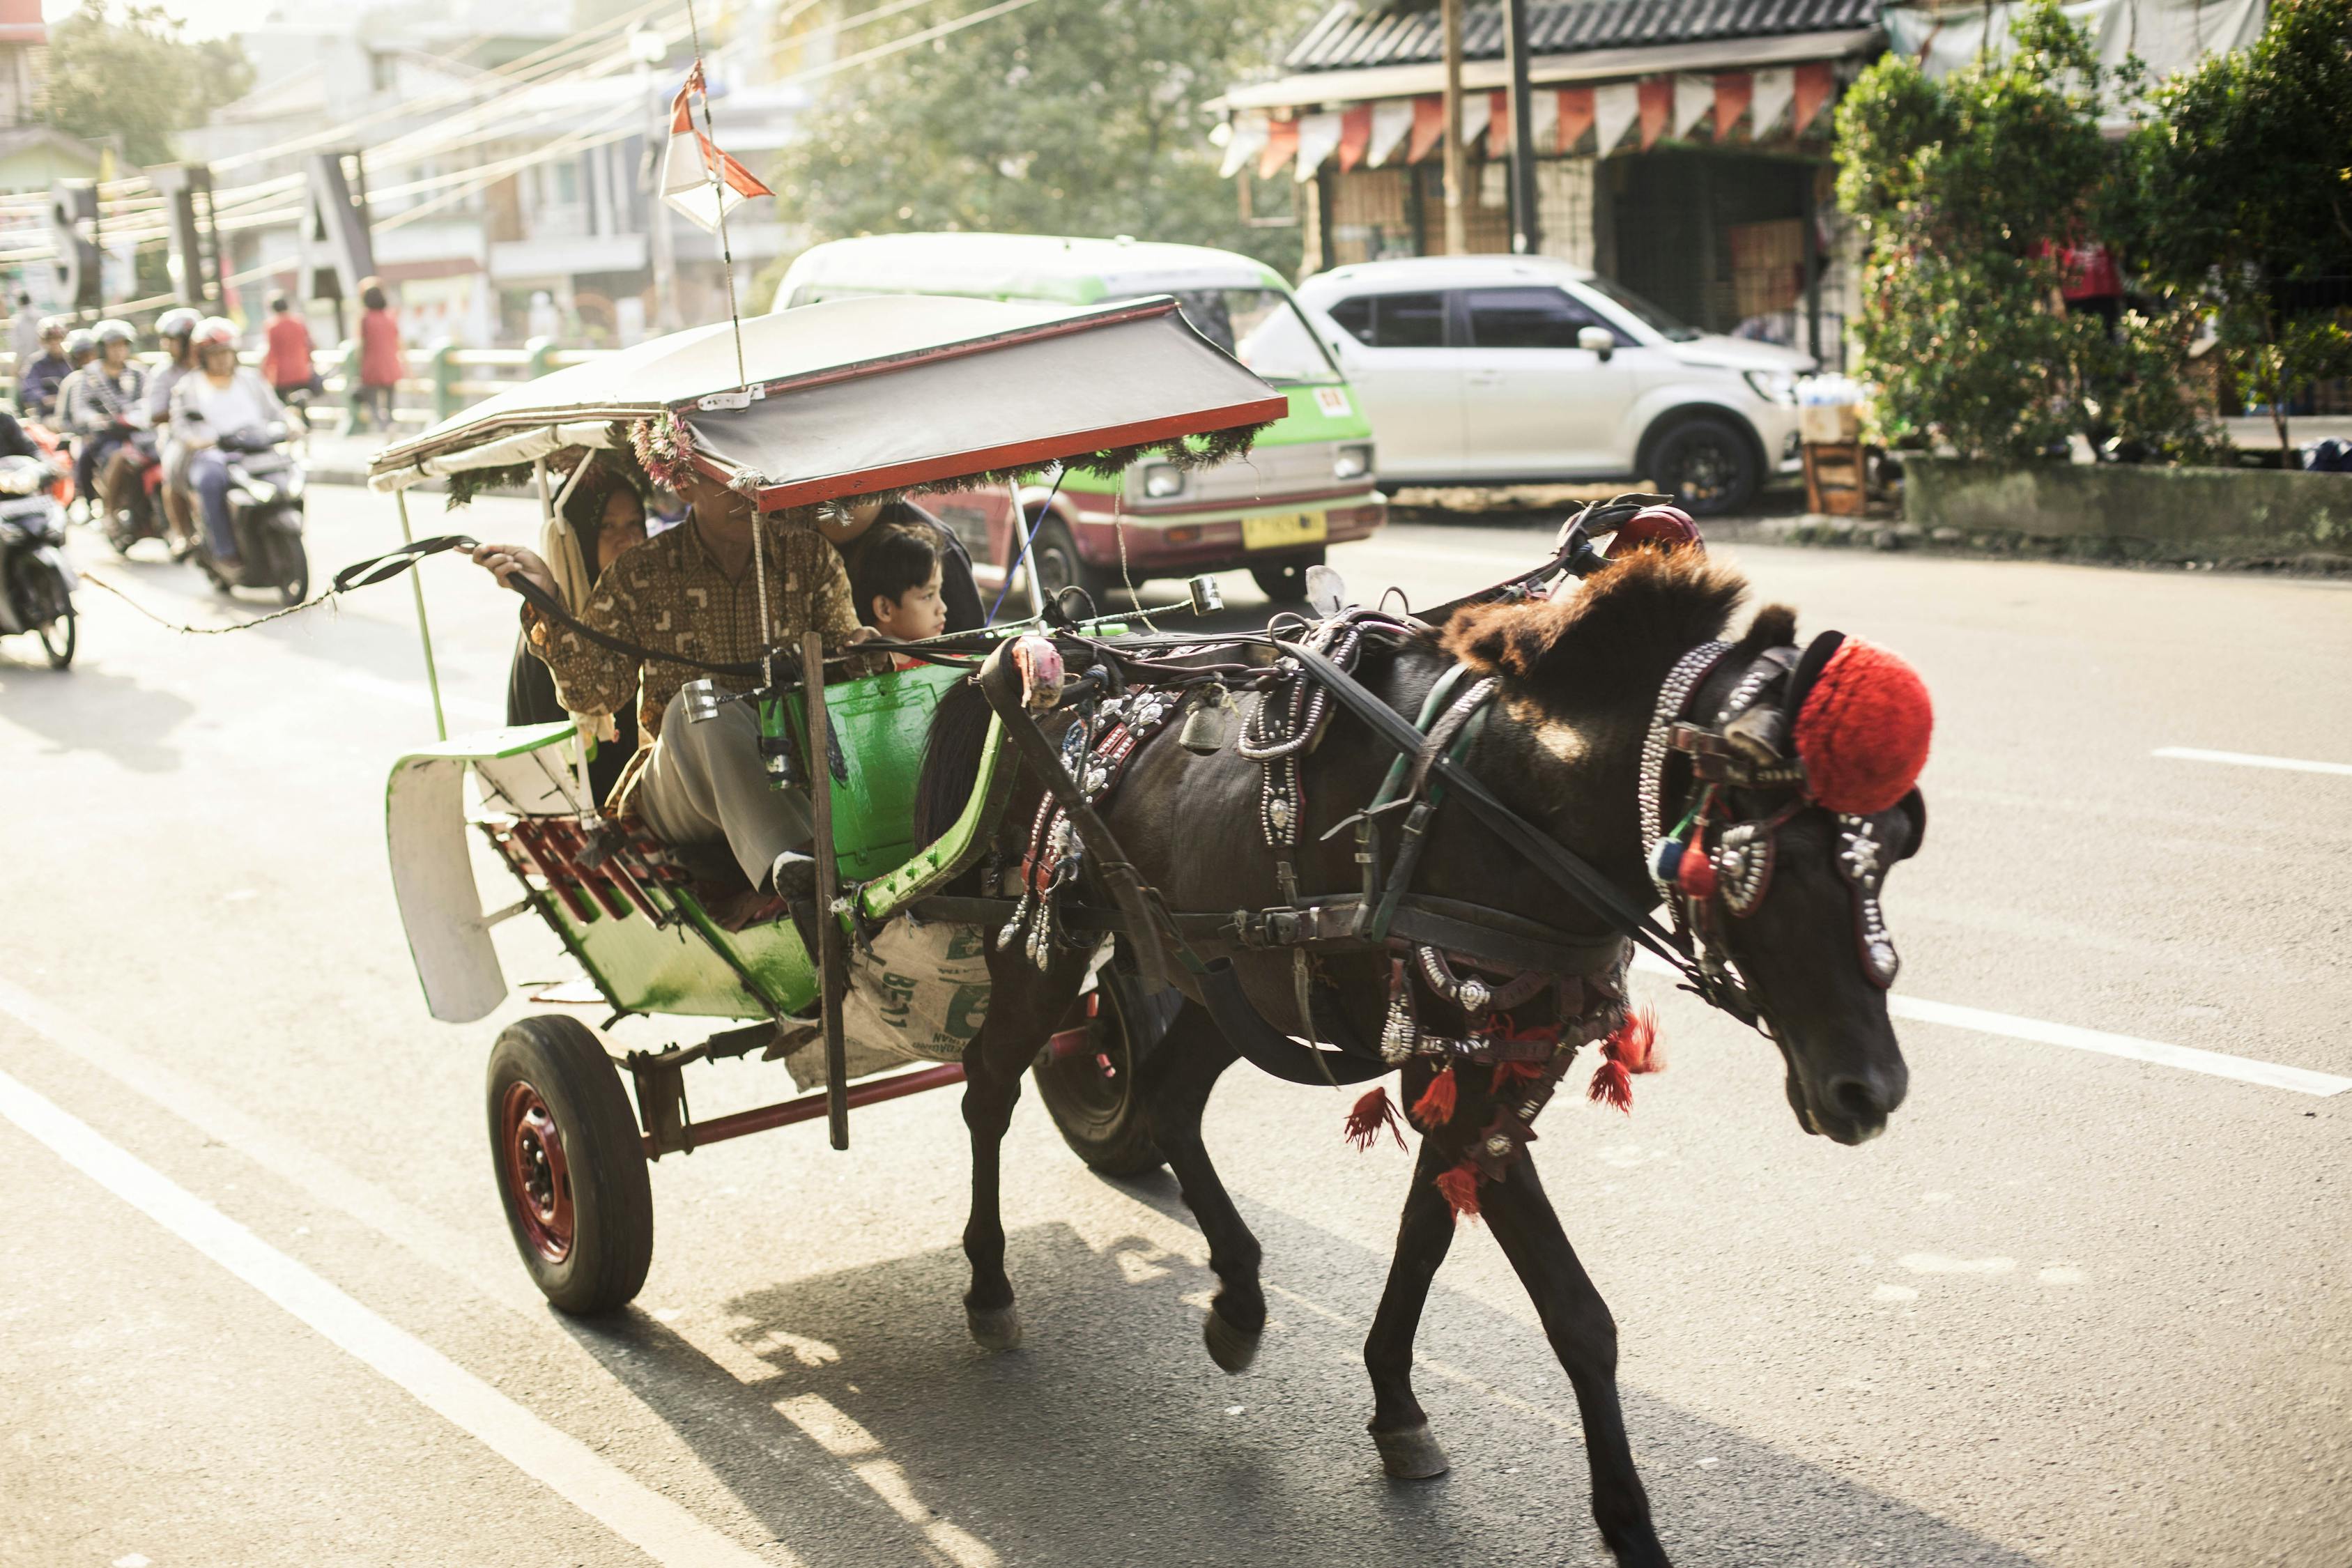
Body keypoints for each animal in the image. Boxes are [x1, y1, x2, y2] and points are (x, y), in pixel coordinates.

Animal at [907, 545, 1919, 1560]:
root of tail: (1040, 654)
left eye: (1892, 850)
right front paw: (1628, 1525)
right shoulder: (1456, 1066)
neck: (1512, 806)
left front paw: (1395, 1404)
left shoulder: (1485, 1066)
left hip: (1223, 972)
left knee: (1164, 1094)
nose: (1869, 1091)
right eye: (1769, 863)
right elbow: (1575, 1313)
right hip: (1044, 943)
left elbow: (1425, 1232)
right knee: (989, 1087)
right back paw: (989, 1283)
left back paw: (1238, 1295)